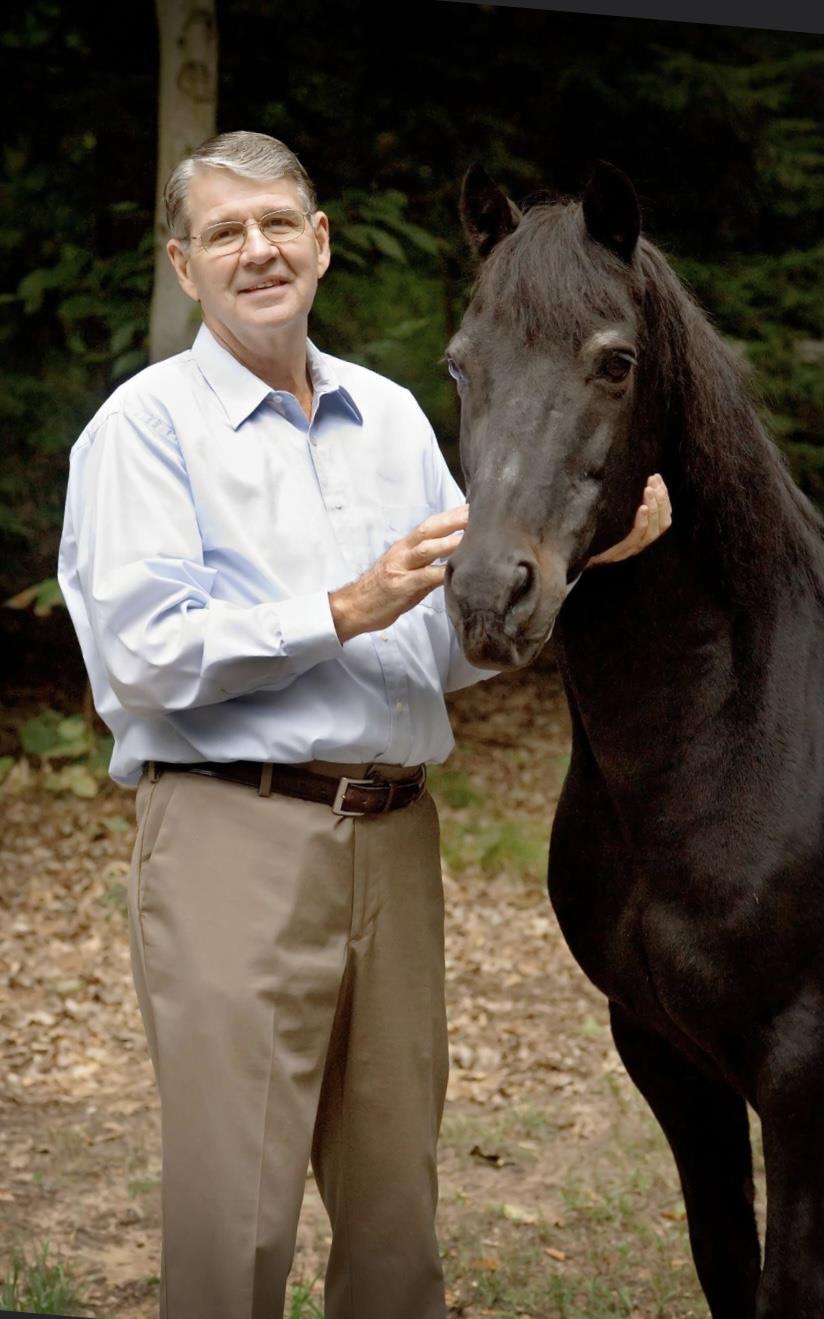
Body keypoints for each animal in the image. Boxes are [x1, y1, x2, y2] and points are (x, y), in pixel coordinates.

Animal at [442, 159, 824, 1318]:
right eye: (460, 365)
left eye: (615, 362)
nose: (490, 594)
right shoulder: (663, 1053)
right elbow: (724, 1262)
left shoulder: (801, 1078)